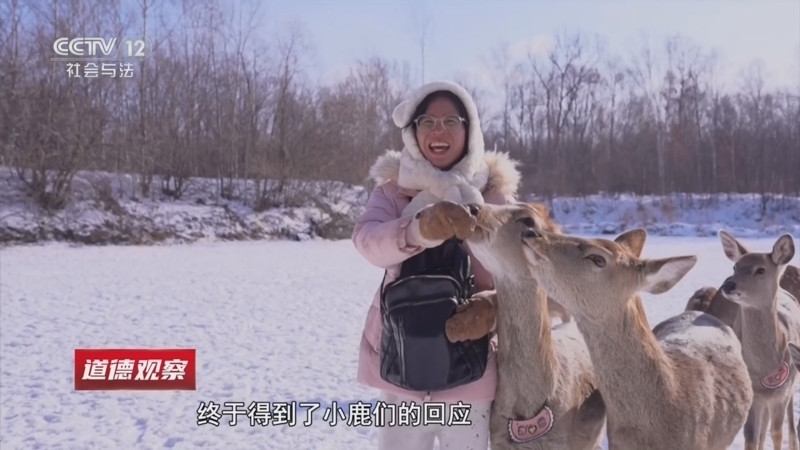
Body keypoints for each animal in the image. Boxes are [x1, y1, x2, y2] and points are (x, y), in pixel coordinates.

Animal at [717, 230, 800, 450]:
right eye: (735, 266)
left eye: (760, 270)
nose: (728, 284)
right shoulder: (753, 396)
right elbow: (752, 438)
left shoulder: (782, 391)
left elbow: (777, 433)